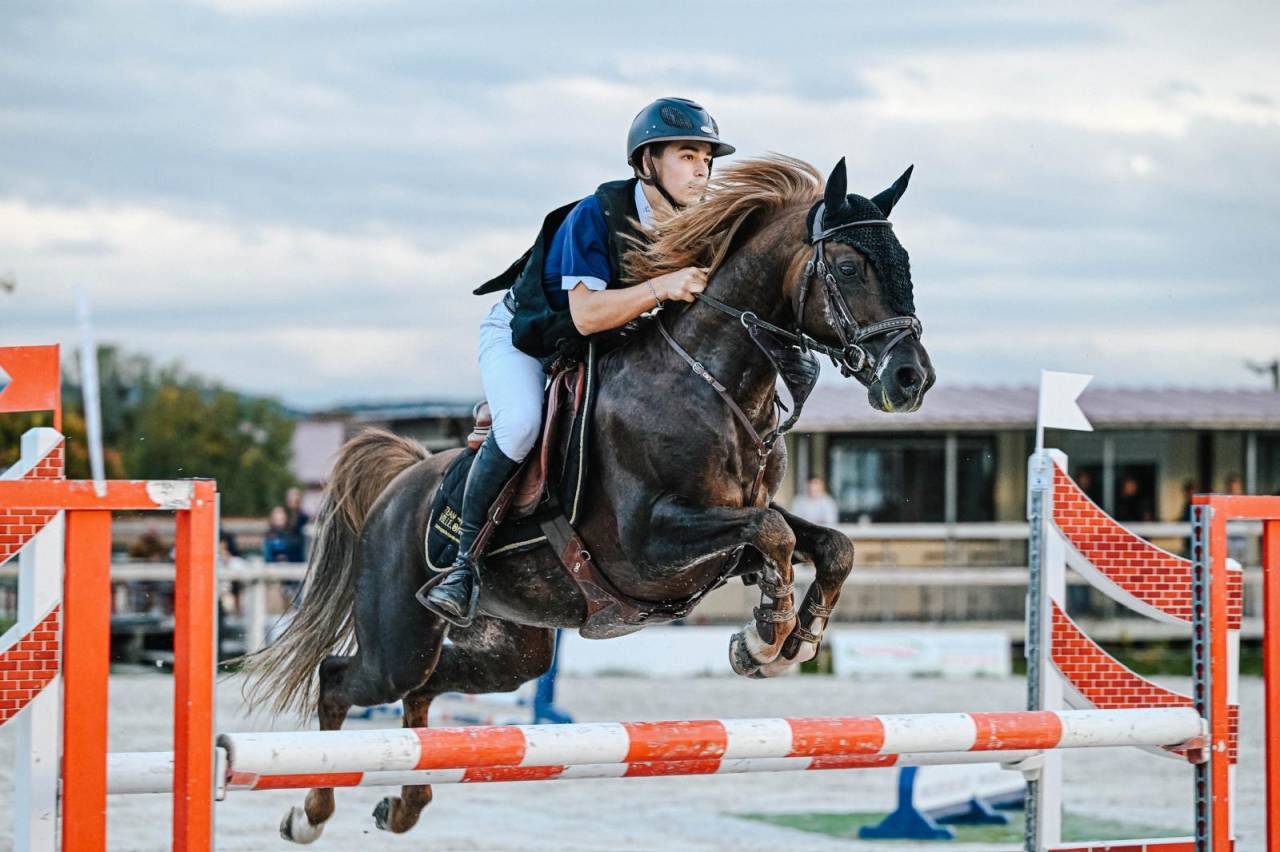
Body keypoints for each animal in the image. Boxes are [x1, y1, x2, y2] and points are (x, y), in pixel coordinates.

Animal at [239, 154, 936, 843]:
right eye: (847, 267)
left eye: (905, 261)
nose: (911, 379)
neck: (713, 383)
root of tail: (400, 483)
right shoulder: (647, 547)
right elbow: (774, 534)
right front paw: (765, 637)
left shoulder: (724, 528)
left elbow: (827, 544)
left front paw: (794, 637)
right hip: (398, 637)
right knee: (345, 677)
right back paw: (309, 813)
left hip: (512, 646)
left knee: (432, 685)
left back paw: (403, 805)